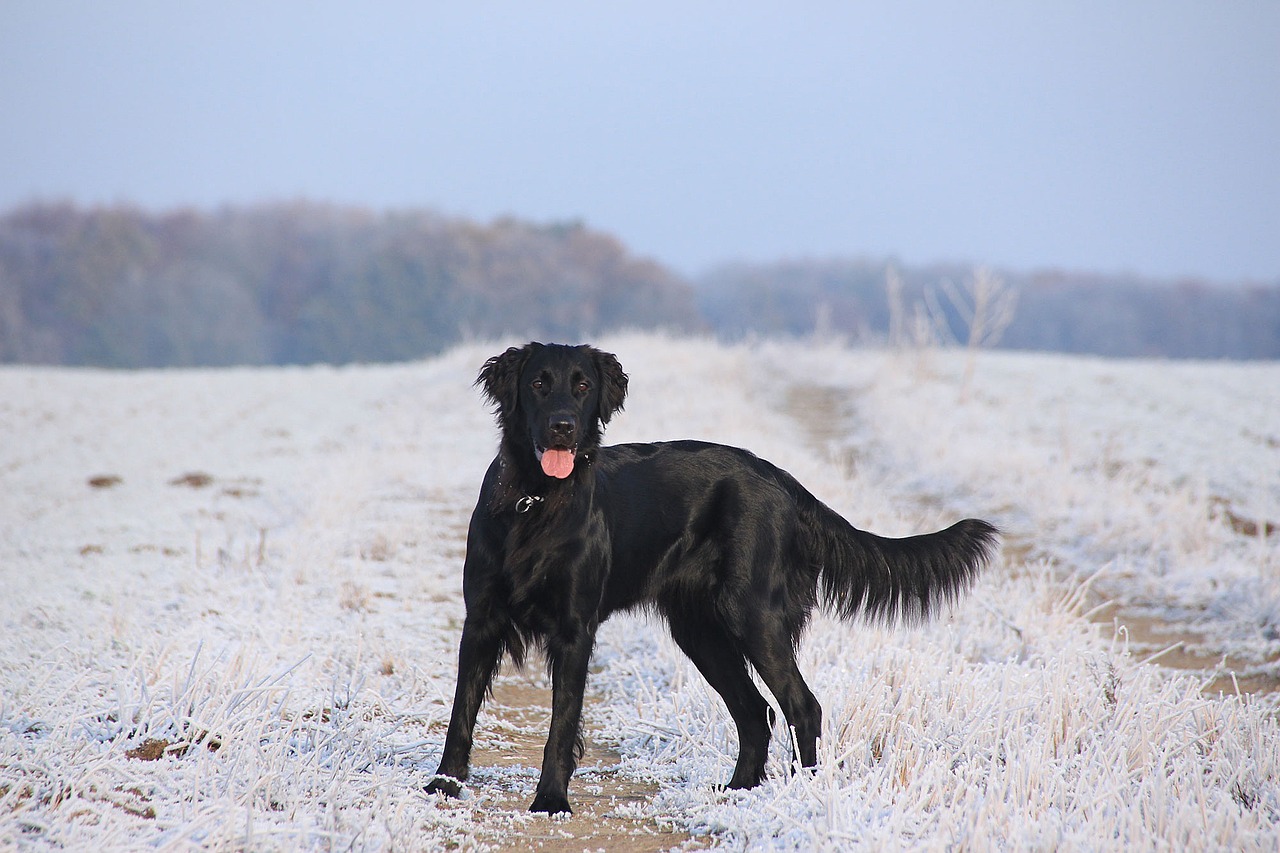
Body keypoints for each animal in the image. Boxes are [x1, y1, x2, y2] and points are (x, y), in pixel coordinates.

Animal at [424, 340, 993, 809]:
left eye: (581, 386)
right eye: (539, 383)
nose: (563, 426)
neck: (536, 500)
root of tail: (781, 480)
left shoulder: (574, 631)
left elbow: (561, 722)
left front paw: (550, 801)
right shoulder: (481, 620)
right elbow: (461, 711)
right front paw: (444, 785)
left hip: (753, 615)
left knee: (801, 706)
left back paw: (798, 795)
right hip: (701, 631)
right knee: (756, 712)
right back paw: (740, 788)